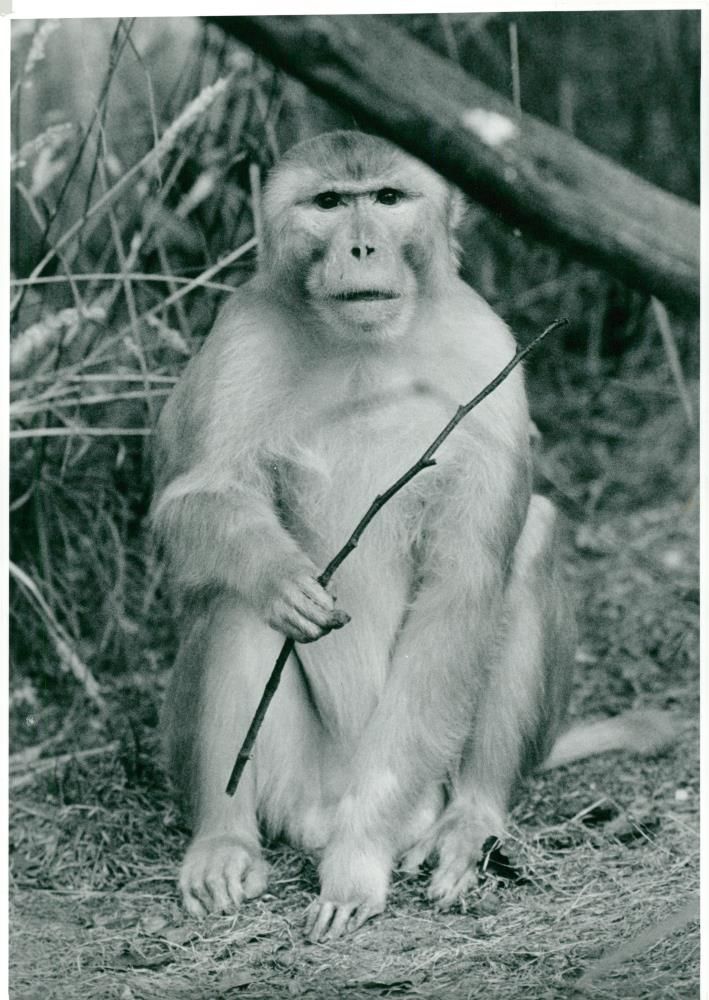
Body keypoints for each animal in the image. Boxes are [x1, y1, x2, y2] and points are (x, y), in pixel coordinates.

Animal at [151, 130, 677, 942]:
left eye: (388, 199)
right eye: (329, 203)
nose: (363, 246)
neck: (367, 344)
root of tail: (322, 805)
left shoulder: (488, 353)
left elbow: (462, 585)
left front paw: (357, 862)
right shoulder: (241, 338)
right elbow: (196, 498)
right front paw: (282, 579)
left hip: (426, 778)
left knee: (526, 545)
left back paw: (467, 819)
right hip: (291, 777)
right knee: (233, 596)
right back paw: (224, 837)